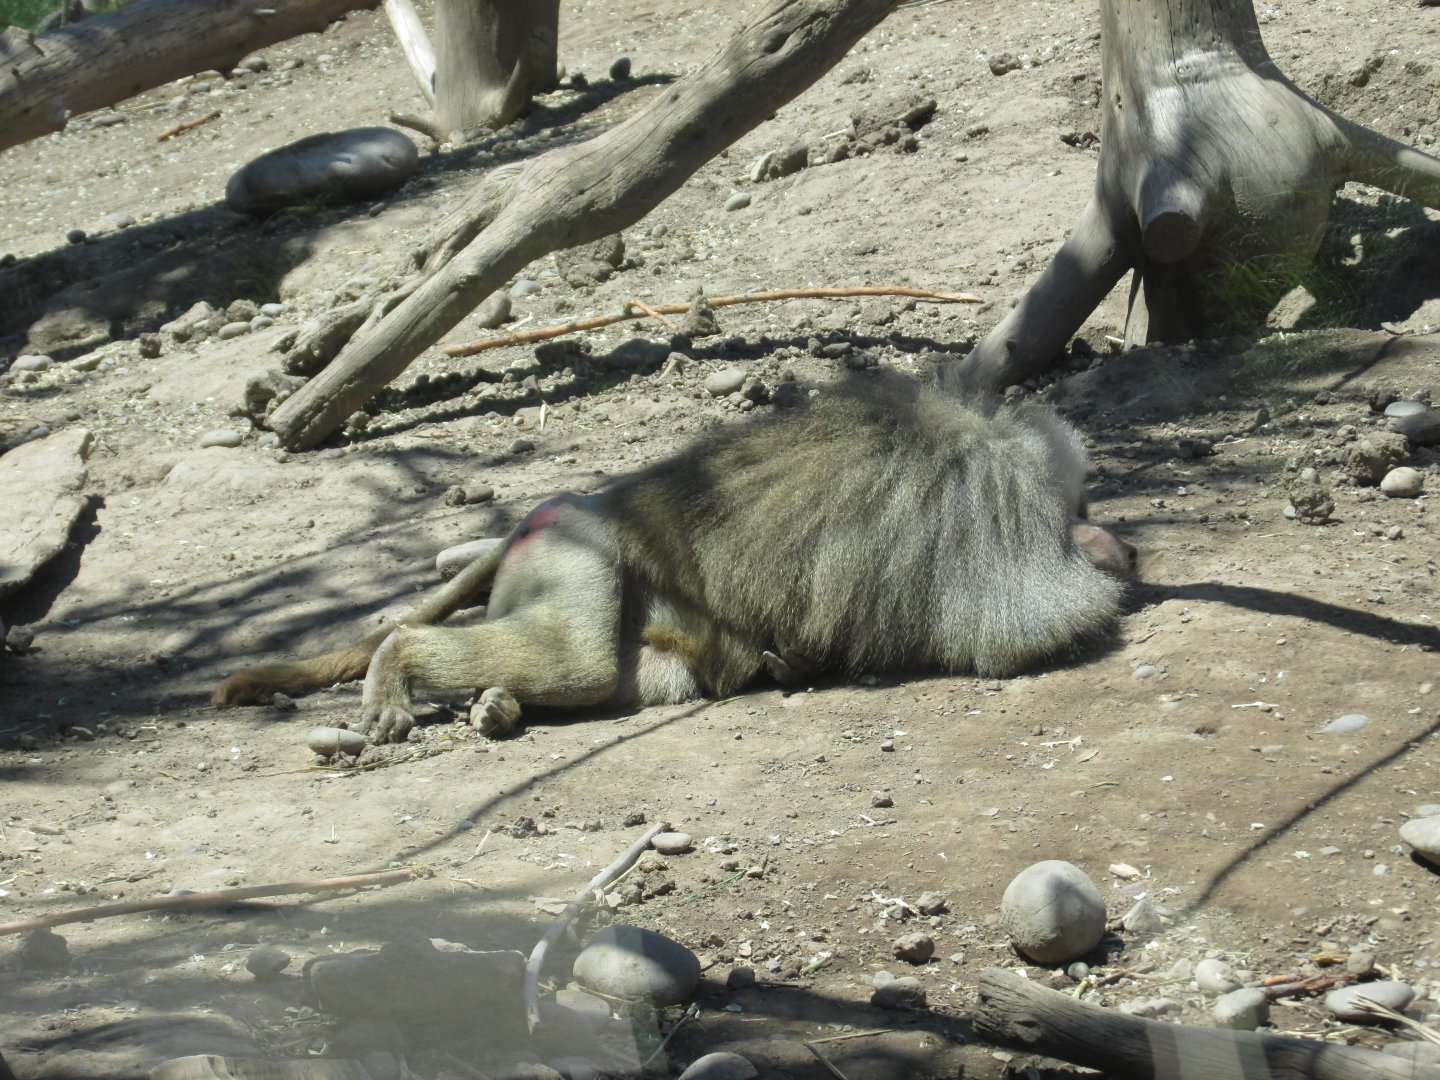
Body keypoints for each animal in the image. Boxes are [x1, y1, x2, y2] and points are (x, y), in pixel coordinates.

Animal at [213, 374, 1135, 742]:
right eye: (1080, 510)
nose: (1121, 546)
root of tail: (566, 506)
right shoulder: (980, 508)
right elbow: (1022, 631)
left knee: (624, 675)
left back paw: (496, 706)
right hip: (580, 556)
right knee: (578, 662)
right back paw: (398, 666)